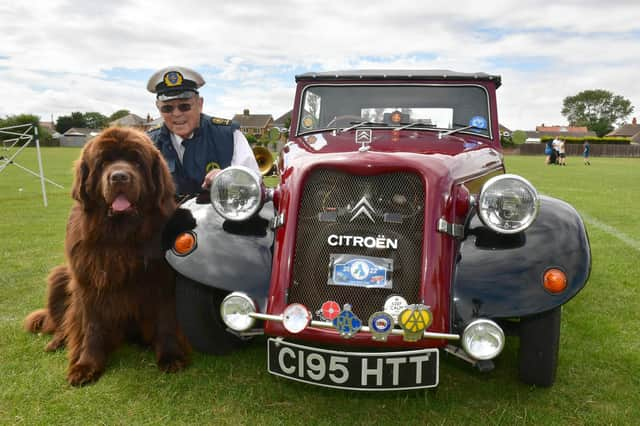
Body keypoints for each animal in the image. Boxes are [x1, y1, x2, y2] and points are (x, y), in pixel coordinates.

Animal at [23, 126, 192, 386]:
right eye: (103, 163)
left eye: (137, 161)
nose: (119, 177)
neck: (121, 238)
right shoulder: (89, 284)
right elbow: (91, 326)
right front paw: (86, 365)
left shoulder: (163, 281)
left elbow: (166, 321)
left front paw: (170, 357)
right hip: (61, 277)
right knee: (65, 322)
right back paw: (56, 342)